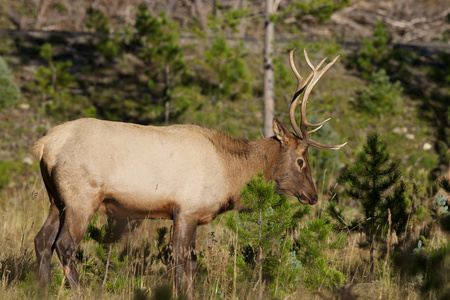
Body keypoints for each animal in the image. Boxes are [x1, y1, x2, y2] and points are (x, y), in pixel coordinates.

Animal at [33, 48, 346, 296]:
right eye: (301, 160)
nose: (313, 196)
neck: (231, 175)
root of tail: (45, 144)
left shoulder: (190, 214)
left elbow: (192, 263)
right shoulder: (186, 210)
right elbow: (181, 261)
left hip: (55, 199)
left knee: (42, 240)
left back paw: (43, 289)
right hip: (81, 198)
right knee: (65, 245)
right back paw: (80, 291)